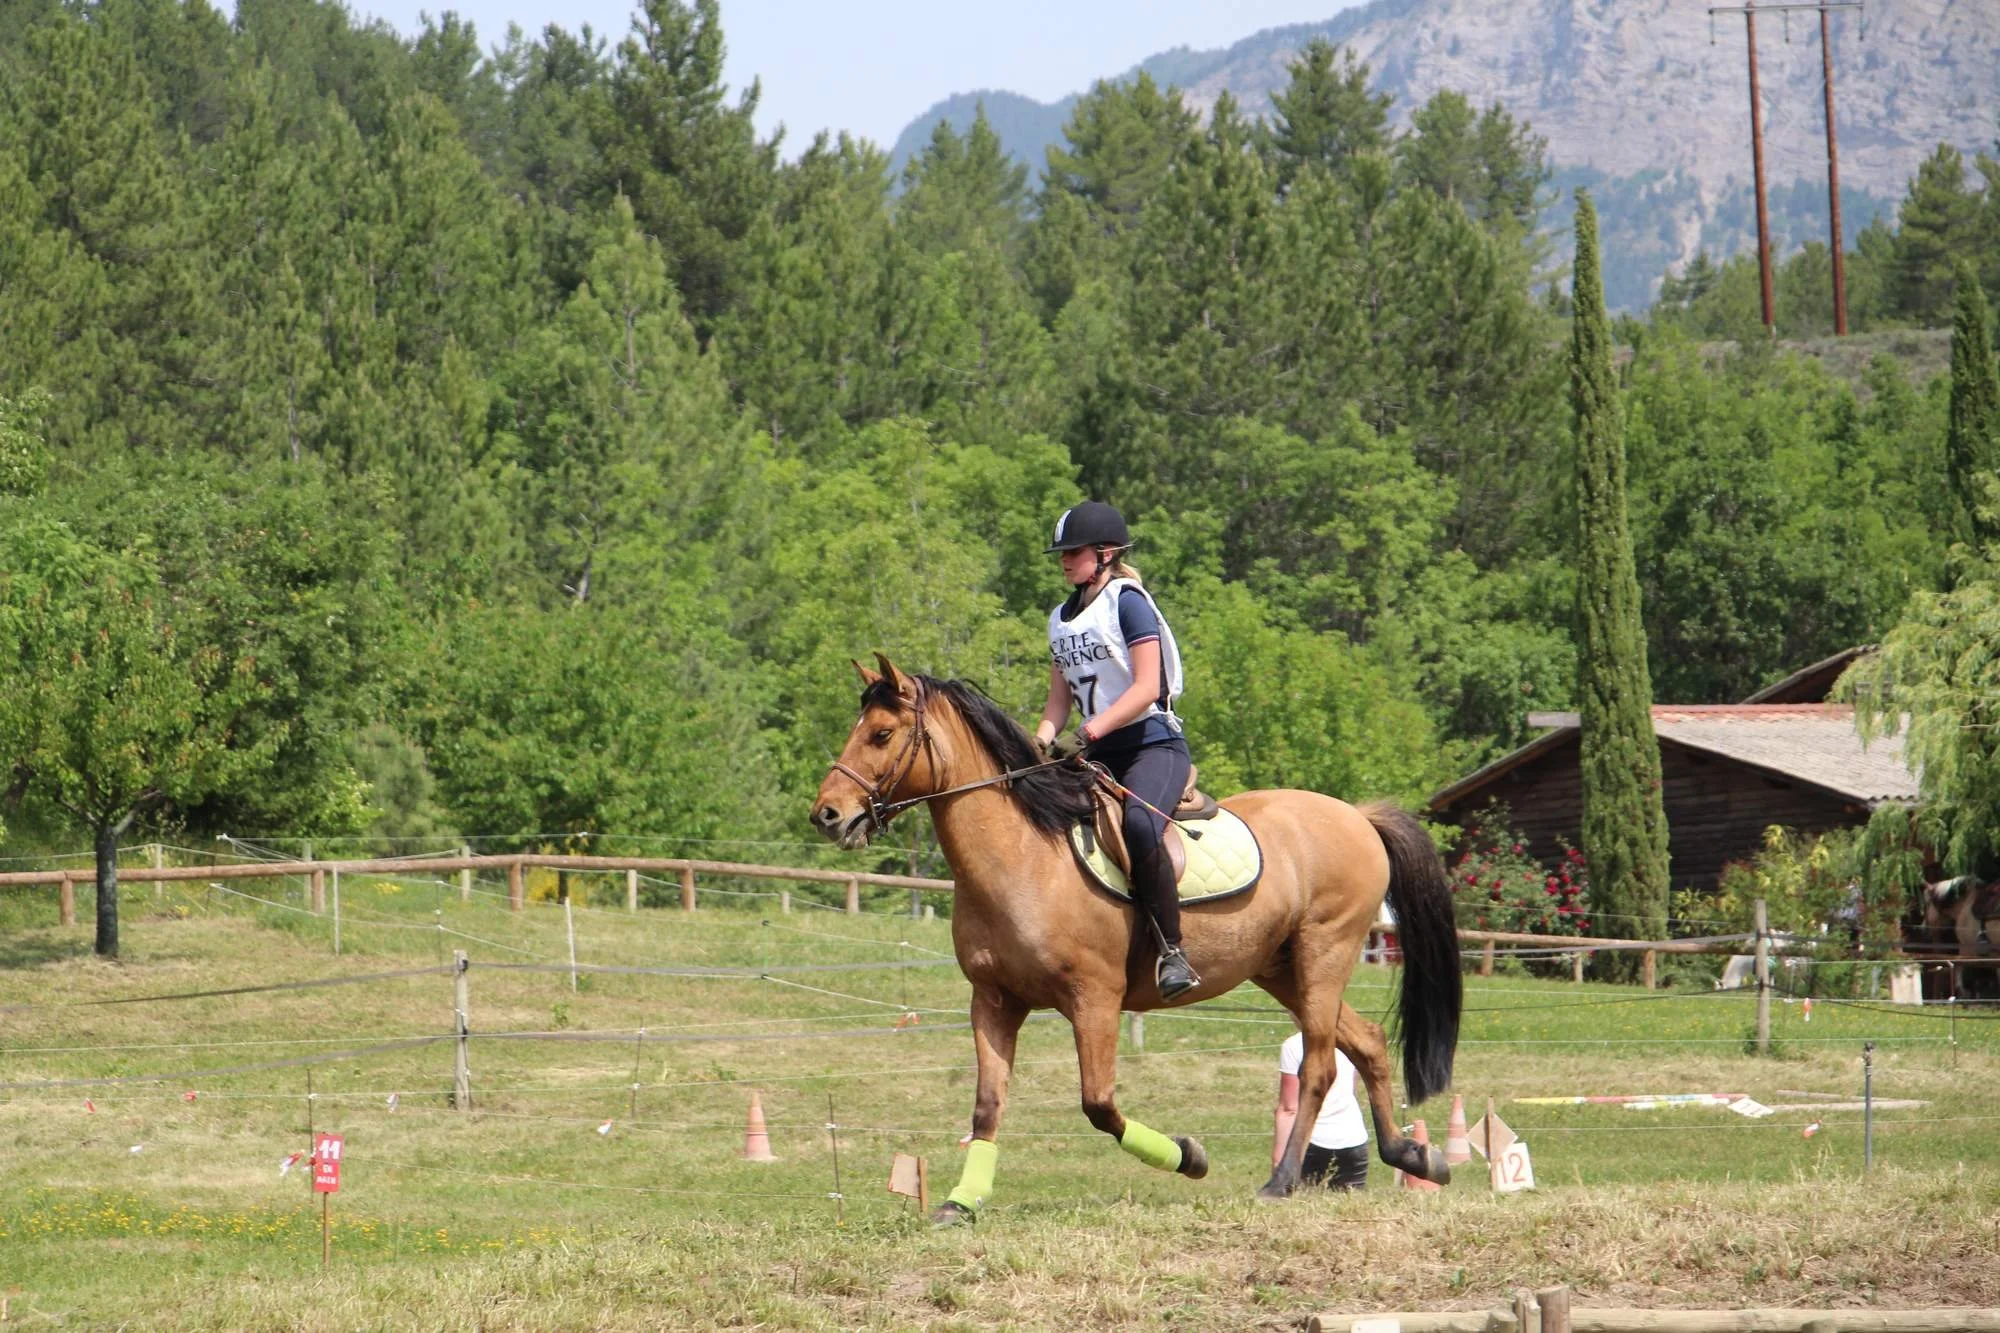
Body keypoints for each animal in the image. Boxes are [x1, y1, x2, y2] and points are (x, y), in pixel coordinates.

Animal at [810, 655, 1462, 1224]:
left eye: (882, 734)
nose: (827, 815)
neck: (1022, 855)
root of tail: (1357, 815)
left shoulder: (1093, 998)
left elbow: (1098, 1104)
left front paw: (1189, 1157)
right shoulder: (993, 1001)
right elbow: (987, 1105)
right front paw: (960, 1203)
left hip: (1324, 951)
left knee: (1321, 1066)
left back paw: (1281, 1182)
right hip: (1280, 968)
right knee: (1367, 1041)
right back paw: (1413, 1155)